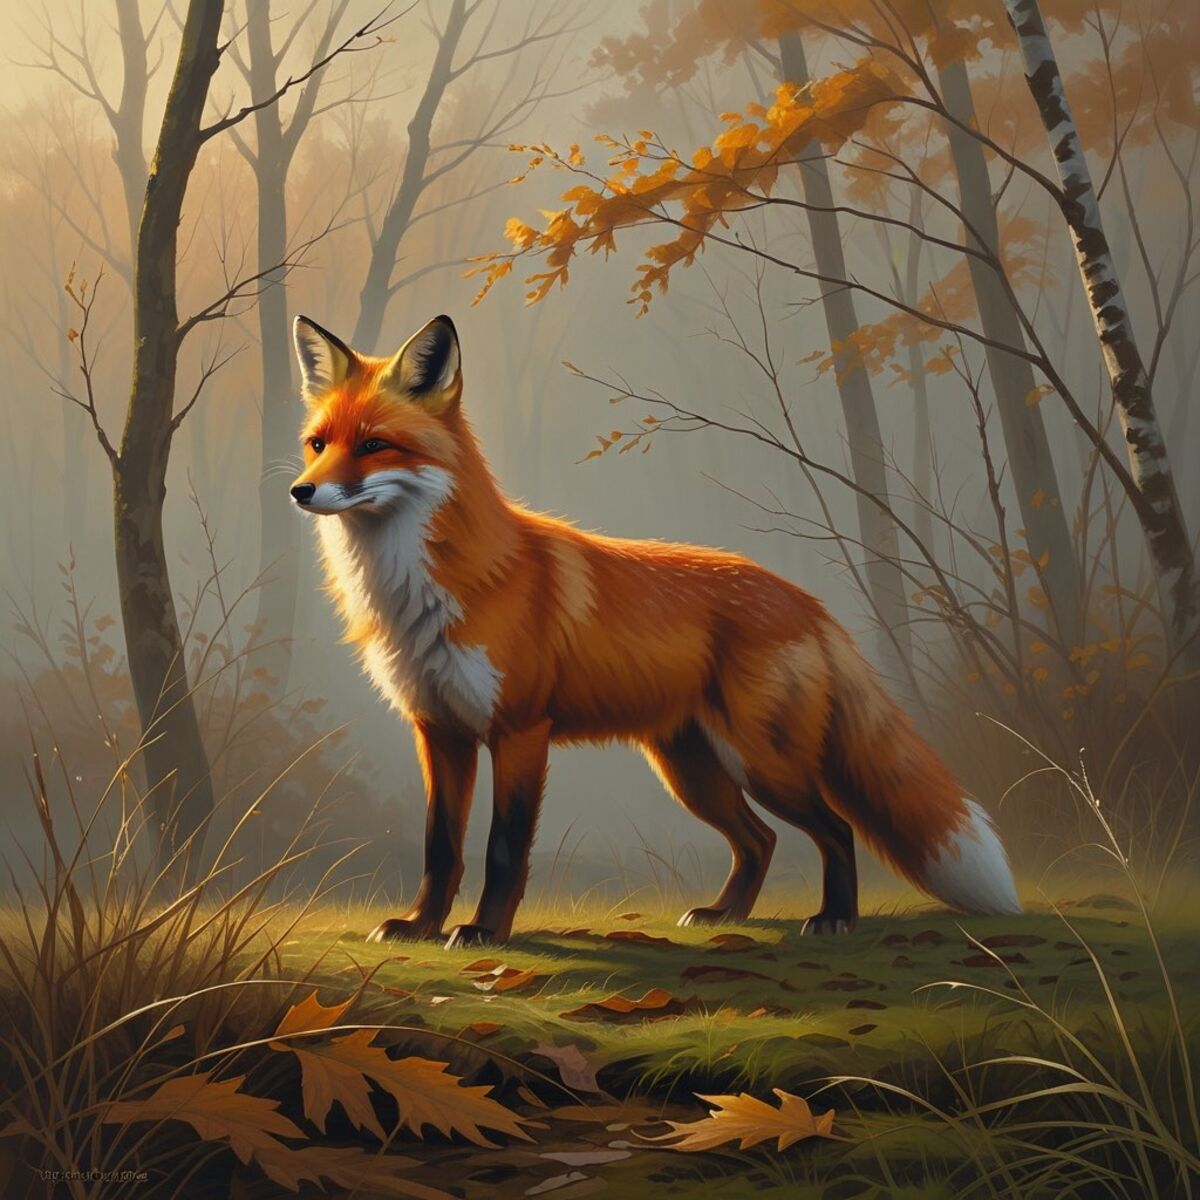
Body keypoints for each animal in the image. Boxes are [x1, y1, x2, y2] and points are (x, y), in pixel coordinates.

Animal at [289, 313, 1021, 949]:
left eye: (374, 444)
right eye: (318, 444)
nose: (301, 491)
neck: (426, 588)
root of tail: (803, 598)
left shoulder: (520, 731)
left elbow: (503, 849)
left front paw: (483, 932)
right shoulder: (439, 731)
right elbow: (440, 848)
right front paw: (419, 926)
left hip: (762, 761)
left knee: (836, 830)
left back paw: (834, 918)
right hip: (692, 768)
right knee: (760, 841)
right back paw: (726, 914)